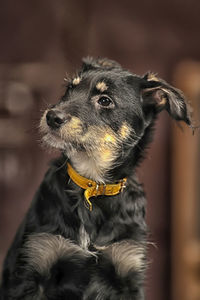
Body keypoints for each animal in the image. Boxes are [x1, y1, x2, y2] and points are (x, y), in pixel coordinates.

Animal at [0, 57, 192, 298]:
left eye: (105, 100)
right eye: (69, 89)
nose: (52, 116)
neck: (93, 185)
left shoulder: (127, 269)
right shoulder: (34, 264)